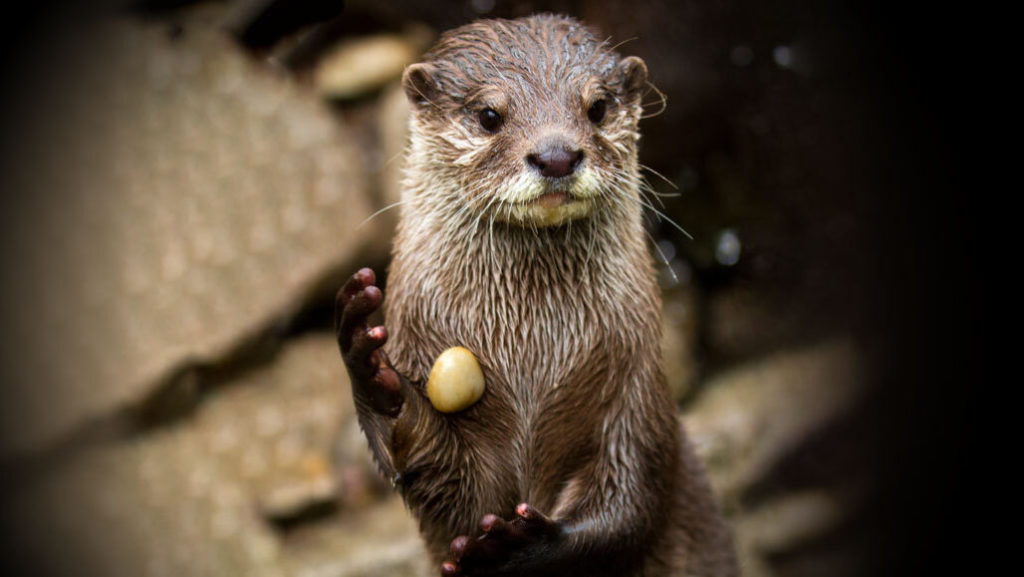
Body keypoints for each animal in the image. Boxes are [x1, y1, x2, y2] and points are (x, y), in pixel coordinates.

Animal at [335, 13, 737, 577]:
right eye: (488, 115)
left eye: (597, 107)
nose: (556, 154)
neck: (532, 359)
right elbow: (446, 481)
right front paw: (370, 367)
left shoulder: (635, 394)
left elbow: (629, 506)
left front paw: (521, 548)